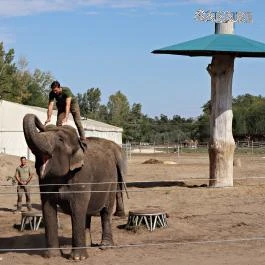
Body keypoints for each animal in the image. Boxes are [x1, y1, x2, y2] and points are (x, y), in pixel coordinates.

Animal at [22, 112, 127, 258]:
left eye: (60, 139)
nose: (43, 122)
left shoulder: (82, 175)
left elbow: (77, 207)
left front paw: (77, 258)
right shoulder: (45, 181)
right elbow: (48, 207)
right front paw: (52, 256)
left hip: (111, 181)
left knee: (106, 211)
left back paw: (105, 246)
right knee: (87, 213)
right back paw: (88, 244)